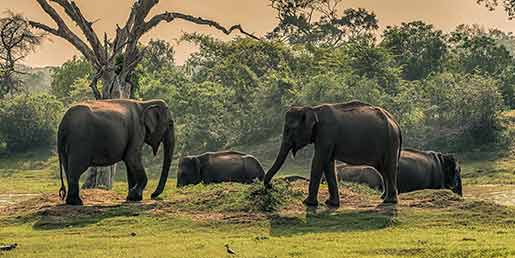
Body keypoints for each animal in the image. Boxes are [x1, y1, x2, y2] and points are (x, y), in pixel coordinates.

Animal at [266, 100, 404, 207]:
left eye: (290, 129)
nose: (271, 186)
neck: (313, 109)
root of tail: (395, 123)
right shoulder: (327, 138)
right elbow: (328, 163)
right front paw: (331, 203)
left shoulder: (326, 133)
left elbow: (318, 160)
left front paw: (307, 203)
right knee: (383, 168)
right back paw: (384, 197)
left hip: (390, 141)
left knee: (389, 166)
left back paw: (389, 201)